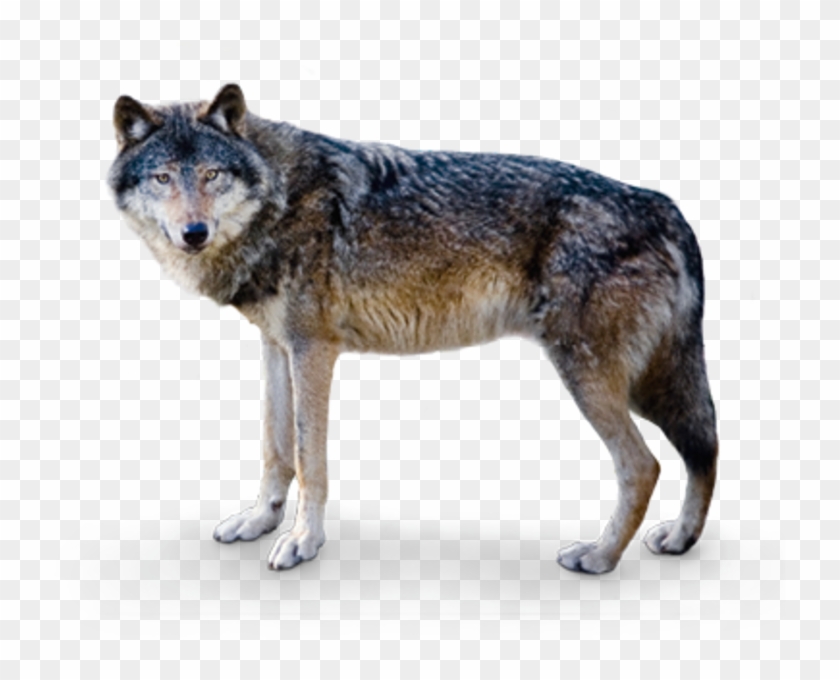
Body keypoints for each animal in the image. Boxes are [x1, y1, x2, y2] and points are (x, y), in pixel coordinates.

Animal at [107, 84, 718, 574]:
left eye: (212, 175)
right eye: (163, 177)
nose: (194, 232)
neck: (281, 198)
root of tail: (664, 206)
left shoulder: (313, 352)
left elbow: (309, 460)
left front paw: (303, 543)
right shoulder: (277, 347)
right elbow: (275, 450)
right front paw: (258, 521)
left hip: (595, 378)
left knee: (645, 465)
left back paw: (600, 556)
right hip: (642, 383)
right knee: (703, 447)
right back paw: (679, 539)